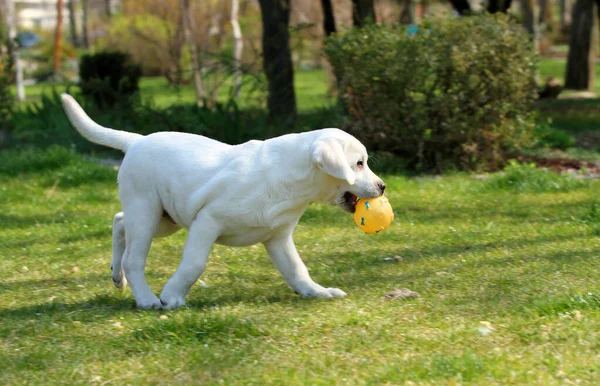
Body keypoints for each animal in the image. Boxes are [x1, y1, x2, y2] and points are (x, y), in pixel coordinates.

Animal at [61, 93, 386, 308]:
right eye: (359, 164)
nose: (382, 187)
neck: (290, 182)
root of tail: (137, 141)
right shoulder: (207, 222)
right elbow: (193, 264)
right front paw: (172, 296)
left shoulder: (278, 238)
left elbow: (297, 269)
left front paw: (317, 292)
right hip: (147, 212)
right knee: (133, 257)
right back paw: (146, 298)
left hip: (164, 218)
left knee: (119, 222)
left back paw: (117, 277)